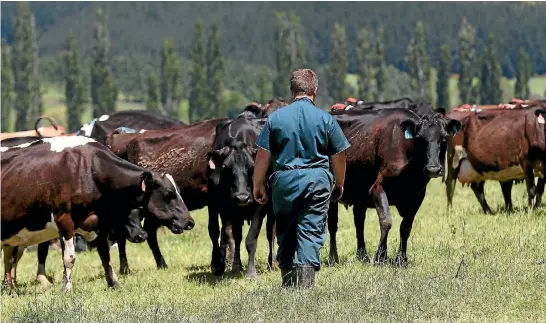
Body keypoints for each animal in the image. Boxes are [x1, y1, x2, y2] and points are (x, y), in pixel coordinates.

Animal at [1, 135, 193, 292]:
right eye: (169, 193)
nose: (190, 221)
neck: (88, 169)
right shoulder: (64, 219)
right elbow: (69, 258)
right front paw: (67, 289)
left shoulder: (100, 223)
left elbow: (105, 254)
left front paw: (114, 283)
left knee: (9, 259)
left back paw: (10, 289)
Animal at [205, 115, 276, 278]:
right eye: (225, 167)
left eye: (252, 167)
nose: (242, 197)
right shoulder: (220, 206)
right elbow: (222, 233)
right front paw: (225, 265)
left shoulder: (260, 205)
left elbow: (251, 239)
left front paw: (251, 272)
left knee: (271, 232)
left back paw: (272, 263)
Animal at [326, 107, 462, 268]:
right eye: (420, 138)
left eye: (444, 138)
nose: (433, 169)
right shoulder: (378, 188)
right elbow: (386, 221)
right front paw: (380, 257)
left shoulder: (417, 196)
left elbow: (406, 227)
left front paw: (401, 259)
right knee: (333, 224)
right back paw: (333, 258)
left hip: (360, 194)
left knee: (359, 221)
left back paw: (362, 256)